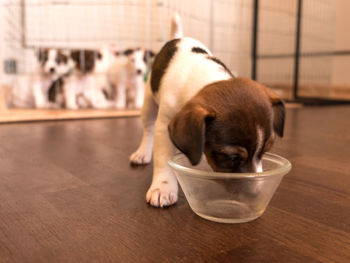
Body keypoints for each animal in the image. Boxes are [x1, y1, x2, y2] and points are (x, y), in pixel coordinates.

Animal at [129, 14, 284, 208]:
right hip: (149, 102)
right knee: (148, 130)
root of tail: (178, 37)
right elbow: (163, 159)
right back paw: (142, 153)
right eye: (231, 157)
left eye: (266, 150)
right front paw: (163, 187)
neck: (206, 80)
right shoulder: (164, 126)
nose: (255, 194)